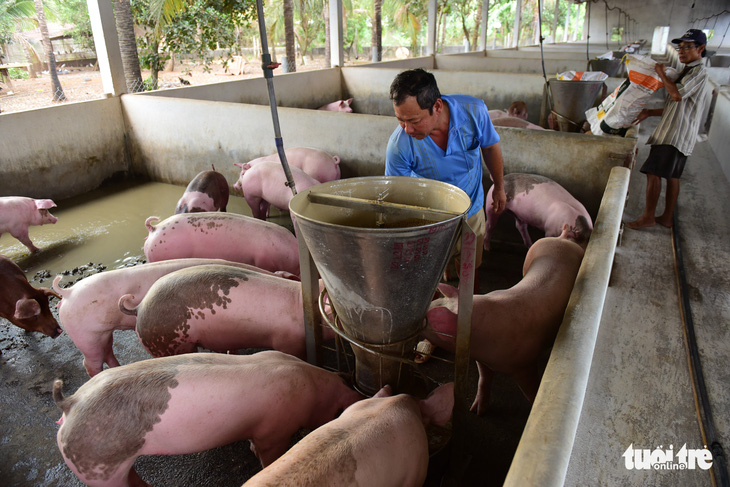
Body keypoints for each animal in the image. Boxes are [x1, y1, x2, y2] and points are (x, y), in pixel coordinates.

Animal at [51, 260, 292, 378]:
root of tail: (68, 292)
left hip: (103, 335)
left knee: (107, 351)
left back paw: (117, 367)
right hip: (86, 335)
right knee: (90, 362)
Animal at [420, 229, 580, 416]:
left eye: (426, 321)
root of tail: (563, 239)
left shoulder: (525, 364)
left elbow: (531, 391)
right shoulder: (482, 359)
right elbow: (484, 379)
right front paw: (477, 411)